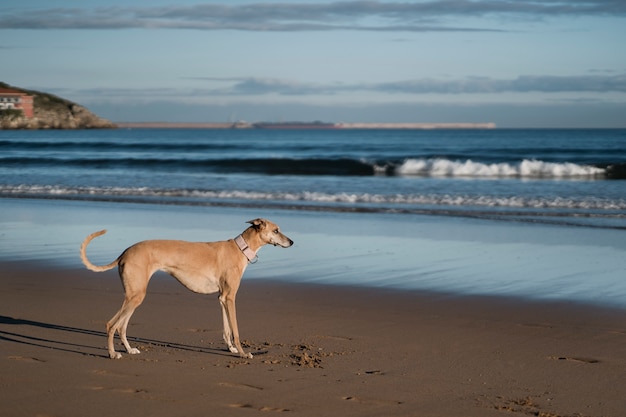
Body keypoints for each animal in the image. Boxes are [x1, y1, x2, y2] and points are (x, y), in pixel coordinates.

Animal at [80, 218, 292, 358]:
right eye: (276, 230)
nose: (292, 242)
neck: (240, 248)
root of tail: (124, 252)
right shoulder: (231, 297)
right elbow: (236, 330)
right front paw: (242, 353)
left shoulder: (223, 297)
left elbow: (227, 329)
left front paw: (231, 348)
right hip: (135, 296)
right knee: (111, 324)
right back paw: (112, 354)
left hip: (135, 296)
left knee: (121, 326)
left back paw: (129, 349)